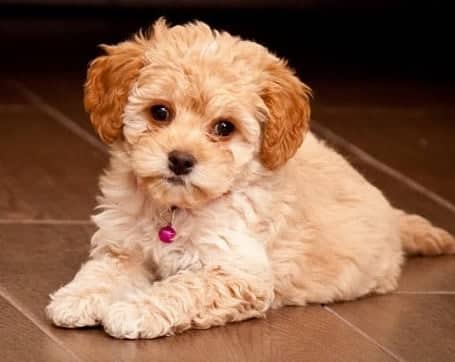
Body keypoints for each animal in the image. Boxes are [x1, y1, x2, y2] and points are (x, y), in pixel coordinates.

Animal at [46, 17, 455, 340]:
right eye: (160, 112)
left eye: (224, 127)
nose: (180, 160)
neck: (176, 209)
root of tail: (390, 214)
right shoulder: (123, 247)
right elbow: (103, 271)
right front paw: (77, 298)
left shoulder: (238, 274)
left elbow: (183, 287)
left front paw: (134, 310)